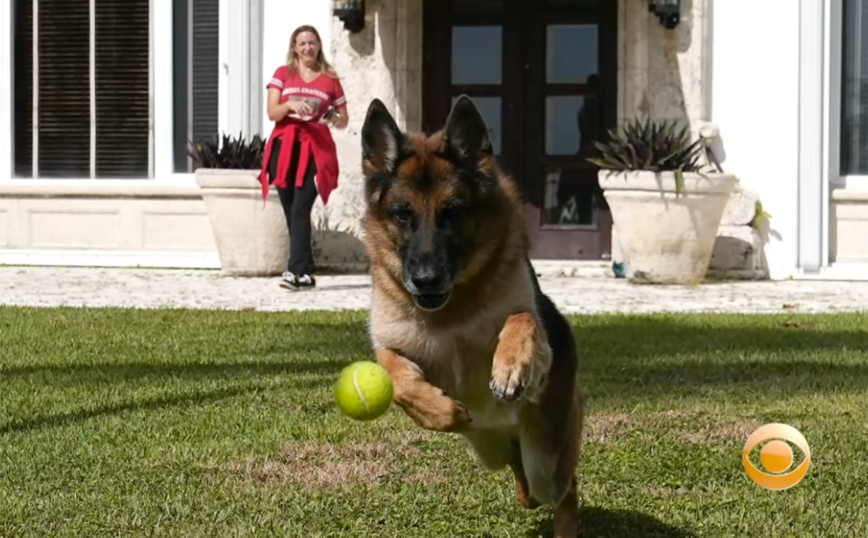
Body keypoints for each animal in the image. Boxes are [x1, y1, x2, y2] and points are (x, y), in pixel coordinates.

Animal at [356, 94, 588, 532]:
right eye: (402, 214)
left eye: (453, 212)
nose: (426, 280)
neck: (452, 313)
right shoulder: (390, 347)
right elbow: (395, 375)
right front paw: (441, 411)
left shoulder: (535, 337)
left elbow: (522, 319)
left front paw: (510, 368)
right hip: (492, 452)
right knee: (524, 482)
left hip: (546, 461)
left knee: (565, 488)